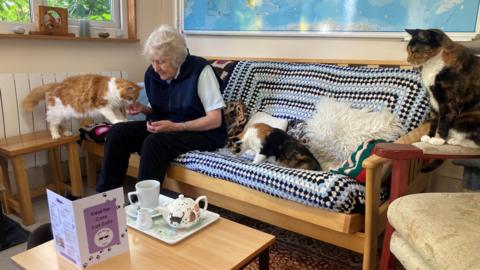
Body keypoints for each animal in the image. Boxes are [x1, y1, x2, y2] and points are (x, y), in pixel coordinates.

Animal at [406, 28, 480, 171]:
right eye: (408, 50)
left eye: (413, 51)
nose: (408, 61)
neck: (432, 64)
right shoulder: (432, 101)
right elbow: (435, 119)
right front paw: (429, 136)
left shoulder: (448, 101)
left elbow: (444, 120)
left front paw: (438, 139)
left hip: (468, 118)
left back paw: (455, 141)